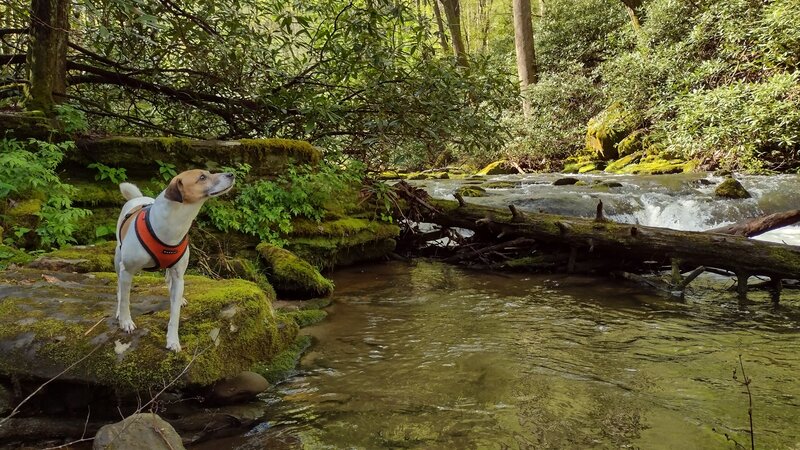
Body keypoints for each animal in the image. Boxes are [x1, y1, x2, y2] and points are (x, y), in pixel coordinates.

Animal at [115, 169, 234, 352]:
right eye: (202, 177)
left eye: (208, 173)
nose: (231, 174)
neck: (174, 223)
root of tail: (138, 199)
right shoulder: (127, 271)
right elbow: (125, 300)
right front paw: (125, 321)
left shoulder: (179, 275)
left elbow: (175, 313)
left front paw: (172, 340)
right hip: (118, 259)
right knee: (119, 288)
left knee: (168, 280)